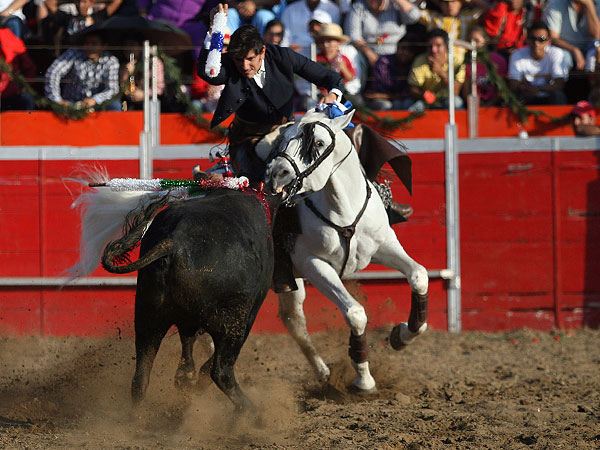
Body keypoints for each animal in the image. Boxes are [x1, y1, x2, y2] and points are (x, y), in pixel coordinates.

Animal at [101, 188, 282, 410]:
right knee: (221, 372)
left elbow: (187, 341)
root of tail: (174, 242)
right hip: (233, 324)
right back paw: (251, 412)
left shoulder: (186, 320)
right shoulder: (249, 315)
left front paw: (185, 378)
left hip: (147, 318)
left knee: (140, 377)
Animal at [260, 107, 428, 392]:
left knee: (292, 318)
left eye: (318, 143)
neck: (342, 207)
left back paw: (323, 373)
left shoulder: (385, 244)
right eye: (283, 140)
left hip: (288, 281)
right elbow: (355, 312)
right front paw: (364, 379)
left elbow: (419, 275)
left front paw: (403, 334)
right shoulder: (313, 264)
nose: (276, 174)